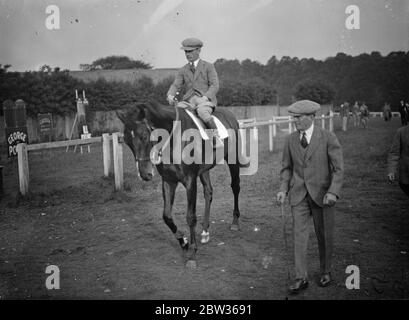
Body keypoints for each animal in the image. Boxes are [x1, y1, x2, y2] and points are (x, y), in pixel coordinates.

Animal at [116, 100, 247, 268]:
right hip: (204, 170)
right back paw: (205, 231)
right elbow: (166, 216)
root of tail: (230, 115)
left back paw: (235, 222)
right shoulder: (169, 181)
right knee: (208, 192)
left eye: (144, 135)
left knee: (235, 187)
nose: (144, 174)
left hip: (233, 160)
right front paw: (184, 242)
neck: (174, 139)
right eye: (127, 141)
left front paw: (192, 254)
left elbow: (190, 217)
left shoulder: (190, 181)